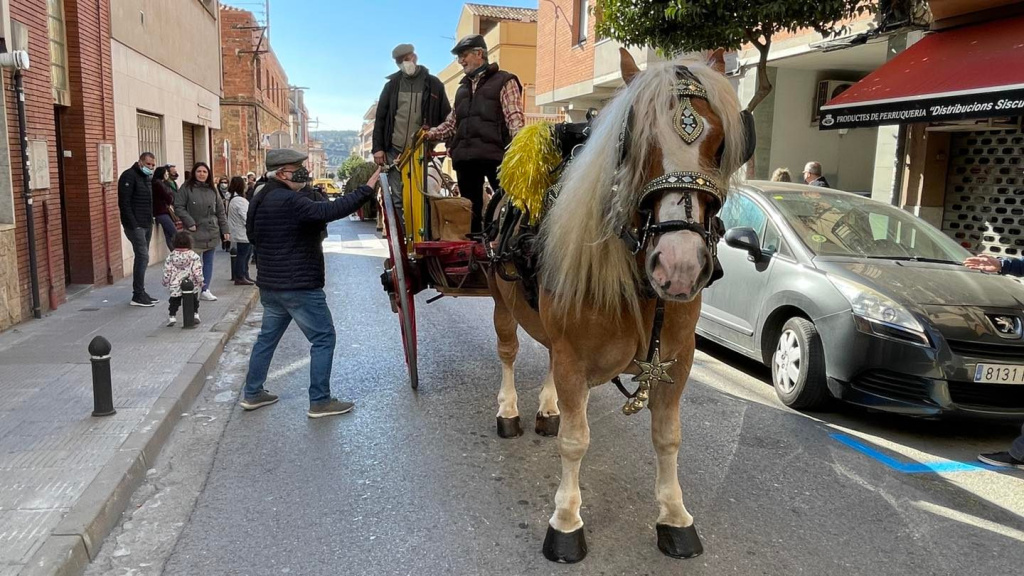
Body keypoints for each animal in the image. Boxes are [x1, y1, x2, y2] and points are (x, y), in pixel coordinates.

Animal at [487, 49, 753, 561]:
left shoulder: (674, 362)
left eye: (721, 144)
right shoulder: (574, 356)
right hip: (501, 303)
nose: (680, 265)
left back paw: (546, 408)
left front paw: (674, 516)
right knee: (508, 353)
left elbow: (667, 437)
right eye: (638, 141)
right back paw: (508, 411)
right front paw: (566, 521)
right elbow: (575, 441)